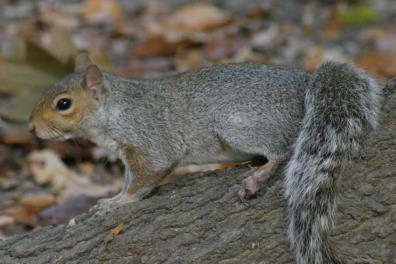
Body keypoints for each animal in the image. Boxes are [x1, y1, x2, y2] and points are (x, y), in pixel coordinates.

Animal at [27, 52, 380, 262]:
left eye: (63, 104)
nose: (31, 127)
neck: (115, 111)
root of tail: (305, 85)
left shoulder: (150, 141)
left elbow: (144, 180)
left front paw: (117, 203)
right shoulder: (128, 157)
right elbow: (129, 180)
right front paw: (112, 198)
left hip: (239, 125)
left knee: (283, 150)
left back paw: (257, 177)